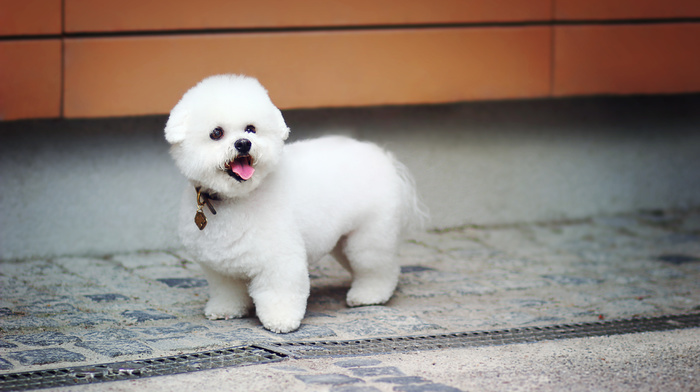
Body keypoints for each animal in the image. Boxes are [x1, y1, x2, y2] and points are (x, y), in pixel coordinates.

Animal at [167, 75, 424, 332]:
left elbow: (279, 291)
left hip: (370, 235)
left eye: (251, 129)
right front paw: (225, 310)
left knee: (378, 268)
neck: (236, 198)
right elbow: (227, 291)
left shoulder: (279, 258)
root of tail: (384, 158)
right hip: (343, 241)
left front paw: (281, 320)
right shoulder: (220, 267)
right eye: (216, 133)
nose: (243, 143)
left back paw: (369, 295)